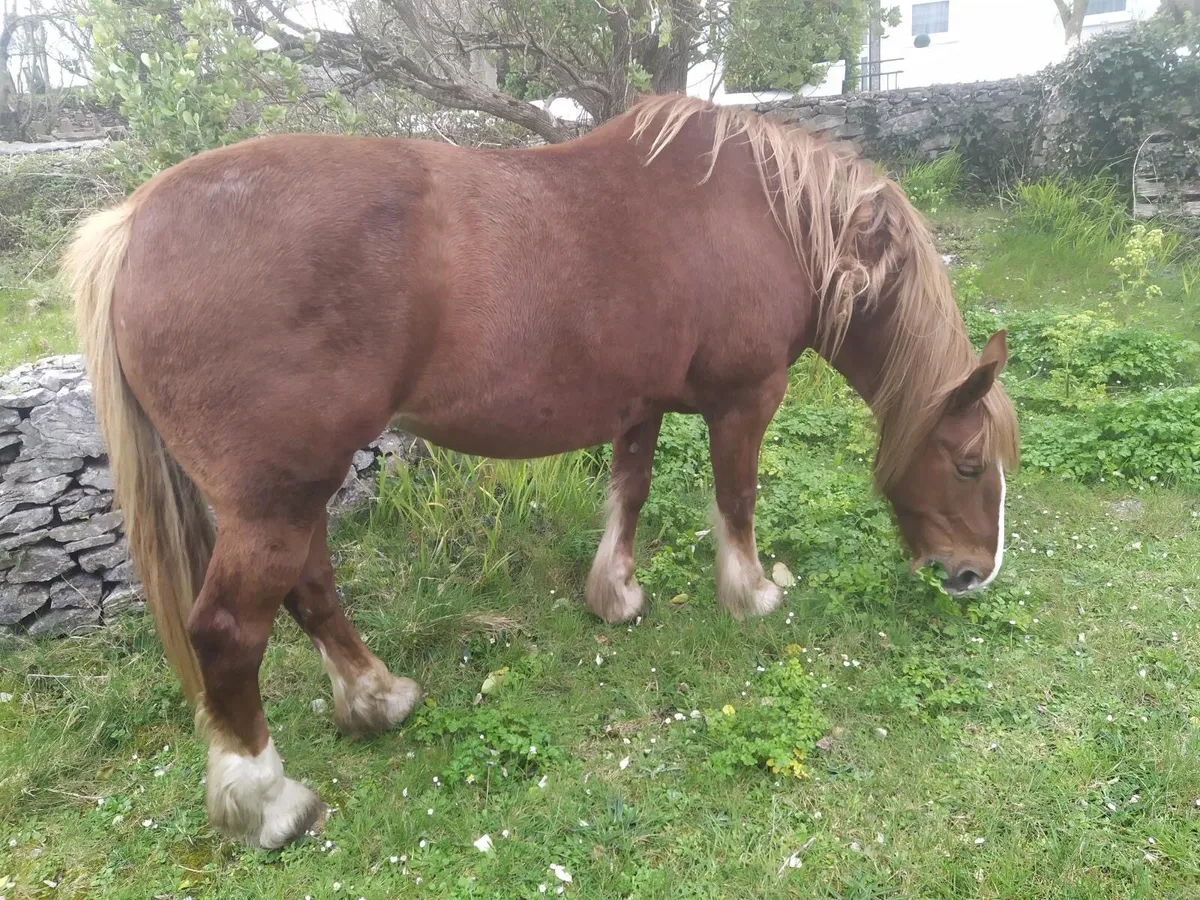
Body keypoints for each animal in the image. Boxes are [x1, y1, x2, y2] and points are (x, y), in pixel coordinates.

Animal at [65, 93, 1019, 848]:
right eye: (969, 464)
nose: (975, 575)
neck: (765, 215)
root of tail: (136, 221)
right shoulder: (745, 400)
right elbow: (736, 499)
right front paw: (751, 593)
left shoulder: (639, 405)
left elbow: (629, 492)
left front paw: (616, 596)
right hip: (276, 494)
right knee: (230, 632)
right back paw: (270, 802)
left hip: (292, 491)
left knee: (310, 587)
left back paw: (377, 698)